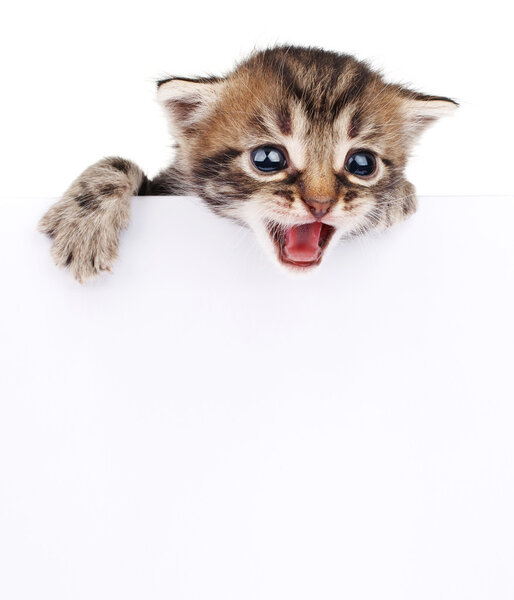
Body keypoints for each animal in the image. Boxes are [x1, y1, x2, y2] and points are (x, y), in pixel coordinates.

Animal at [41, 47, 456, 282]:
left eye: (362, 163)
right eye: (268, 159)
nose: (320, 205)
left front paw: (398, 197)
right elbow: (120, 163)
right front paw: (85, 225)